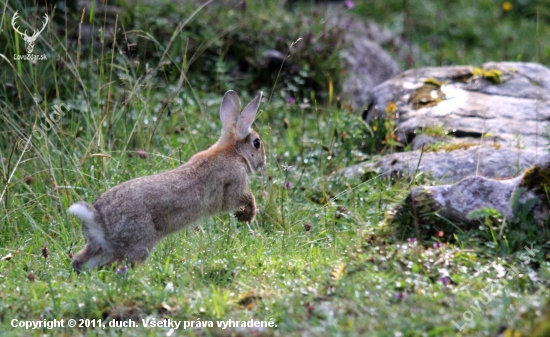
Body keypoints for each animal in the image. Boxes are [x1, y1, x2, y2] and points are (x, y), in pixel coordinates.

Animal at [68, 90, 266, 272]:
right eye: (256, 143)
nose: (264, 162)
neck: (233, 152)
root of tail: (98, 220)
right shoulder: (233, 188)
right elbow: (246, 198)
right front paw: (247, 215)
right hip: (139, 242)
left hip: (101, 247)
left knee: (83, 260)